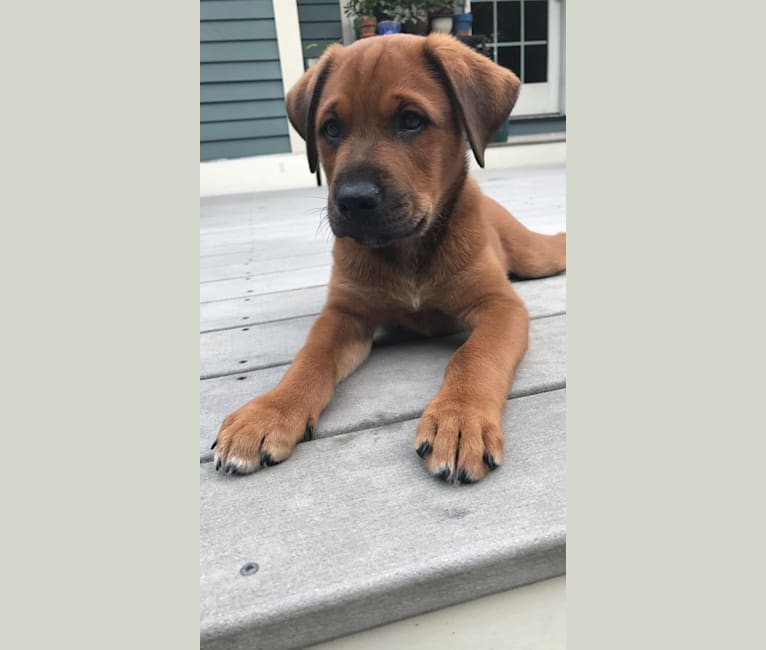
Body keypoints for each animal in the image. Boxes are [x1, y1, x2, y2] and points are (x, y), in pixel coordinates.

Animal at [213, 34, 568, 480]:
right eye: (331, 128)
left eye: (411, 121)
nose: (353, 200)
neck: (407, 251)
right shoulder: (344, 313)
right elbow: (309, 358)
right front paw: (267, 411)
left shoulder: (500, 306)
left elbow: (474, 356)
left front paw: (459, 418)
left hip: (534, 255)